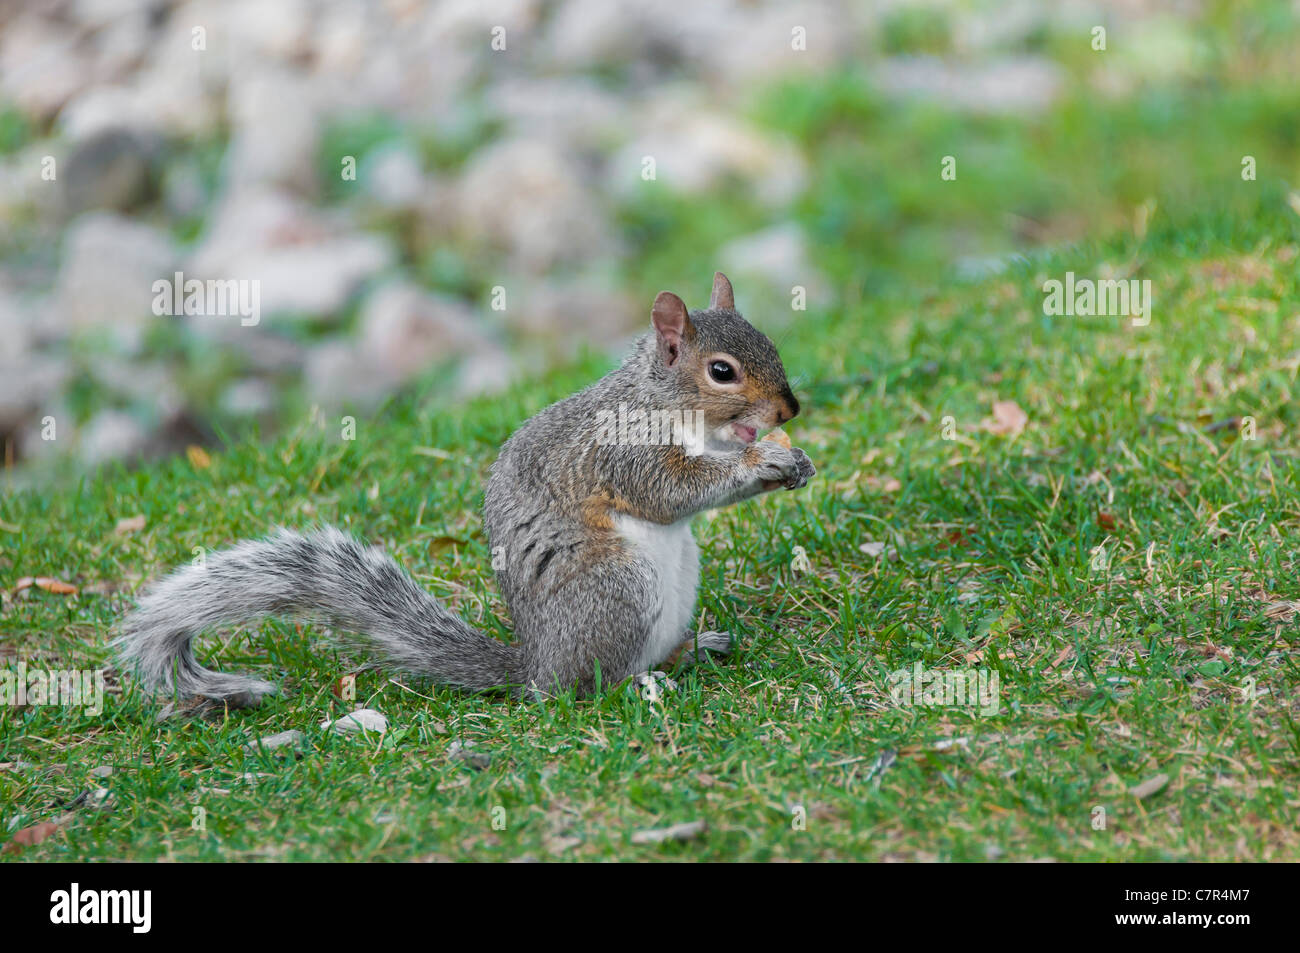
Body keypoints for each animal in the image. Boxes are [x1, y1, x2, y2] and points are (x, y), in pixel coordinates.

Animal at [119, 271, 811, 702]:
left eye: (772, 342)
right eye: (721, 372)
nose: (790, 410)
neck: (660, 401)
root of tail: (535, 664)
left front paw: (792, 460)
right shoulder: (622, 452)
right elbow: (669, 492)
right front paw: (759, 466)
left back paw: (694, 649)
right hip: (616, 588)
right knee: (586, 687)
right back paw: (641, 684)